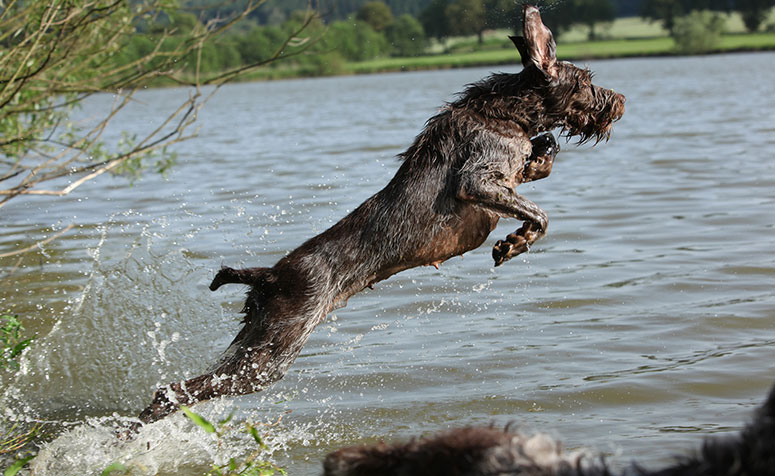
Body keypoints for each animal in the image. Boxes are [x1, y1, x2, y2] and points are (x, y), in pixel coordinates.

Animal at [138, 5, 624, 424]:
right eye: (586, 80)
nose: (619, 101)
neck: (506, 112)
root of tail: (268, 276)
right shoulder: (478, 181)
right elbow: (540, 212)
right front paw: (515, 241)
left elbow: (544, 153)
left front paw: (536, 174)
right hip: (270, 355)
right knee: (170, 391)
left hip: (251, 341)